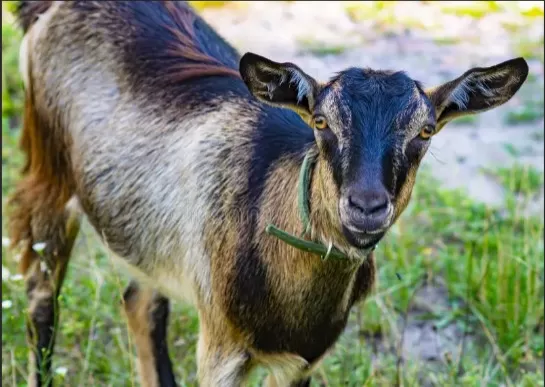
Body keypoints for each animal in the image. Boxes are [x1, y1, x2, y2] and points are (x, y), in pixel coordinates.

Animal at [8, 0, 528, 387]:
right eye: (321, 122)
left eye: (425, 131)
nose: (366, 206)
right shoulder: (220, 349)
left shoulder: (302, 361)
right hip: (49, 174)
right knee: (41, 298)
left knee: (140, 301)